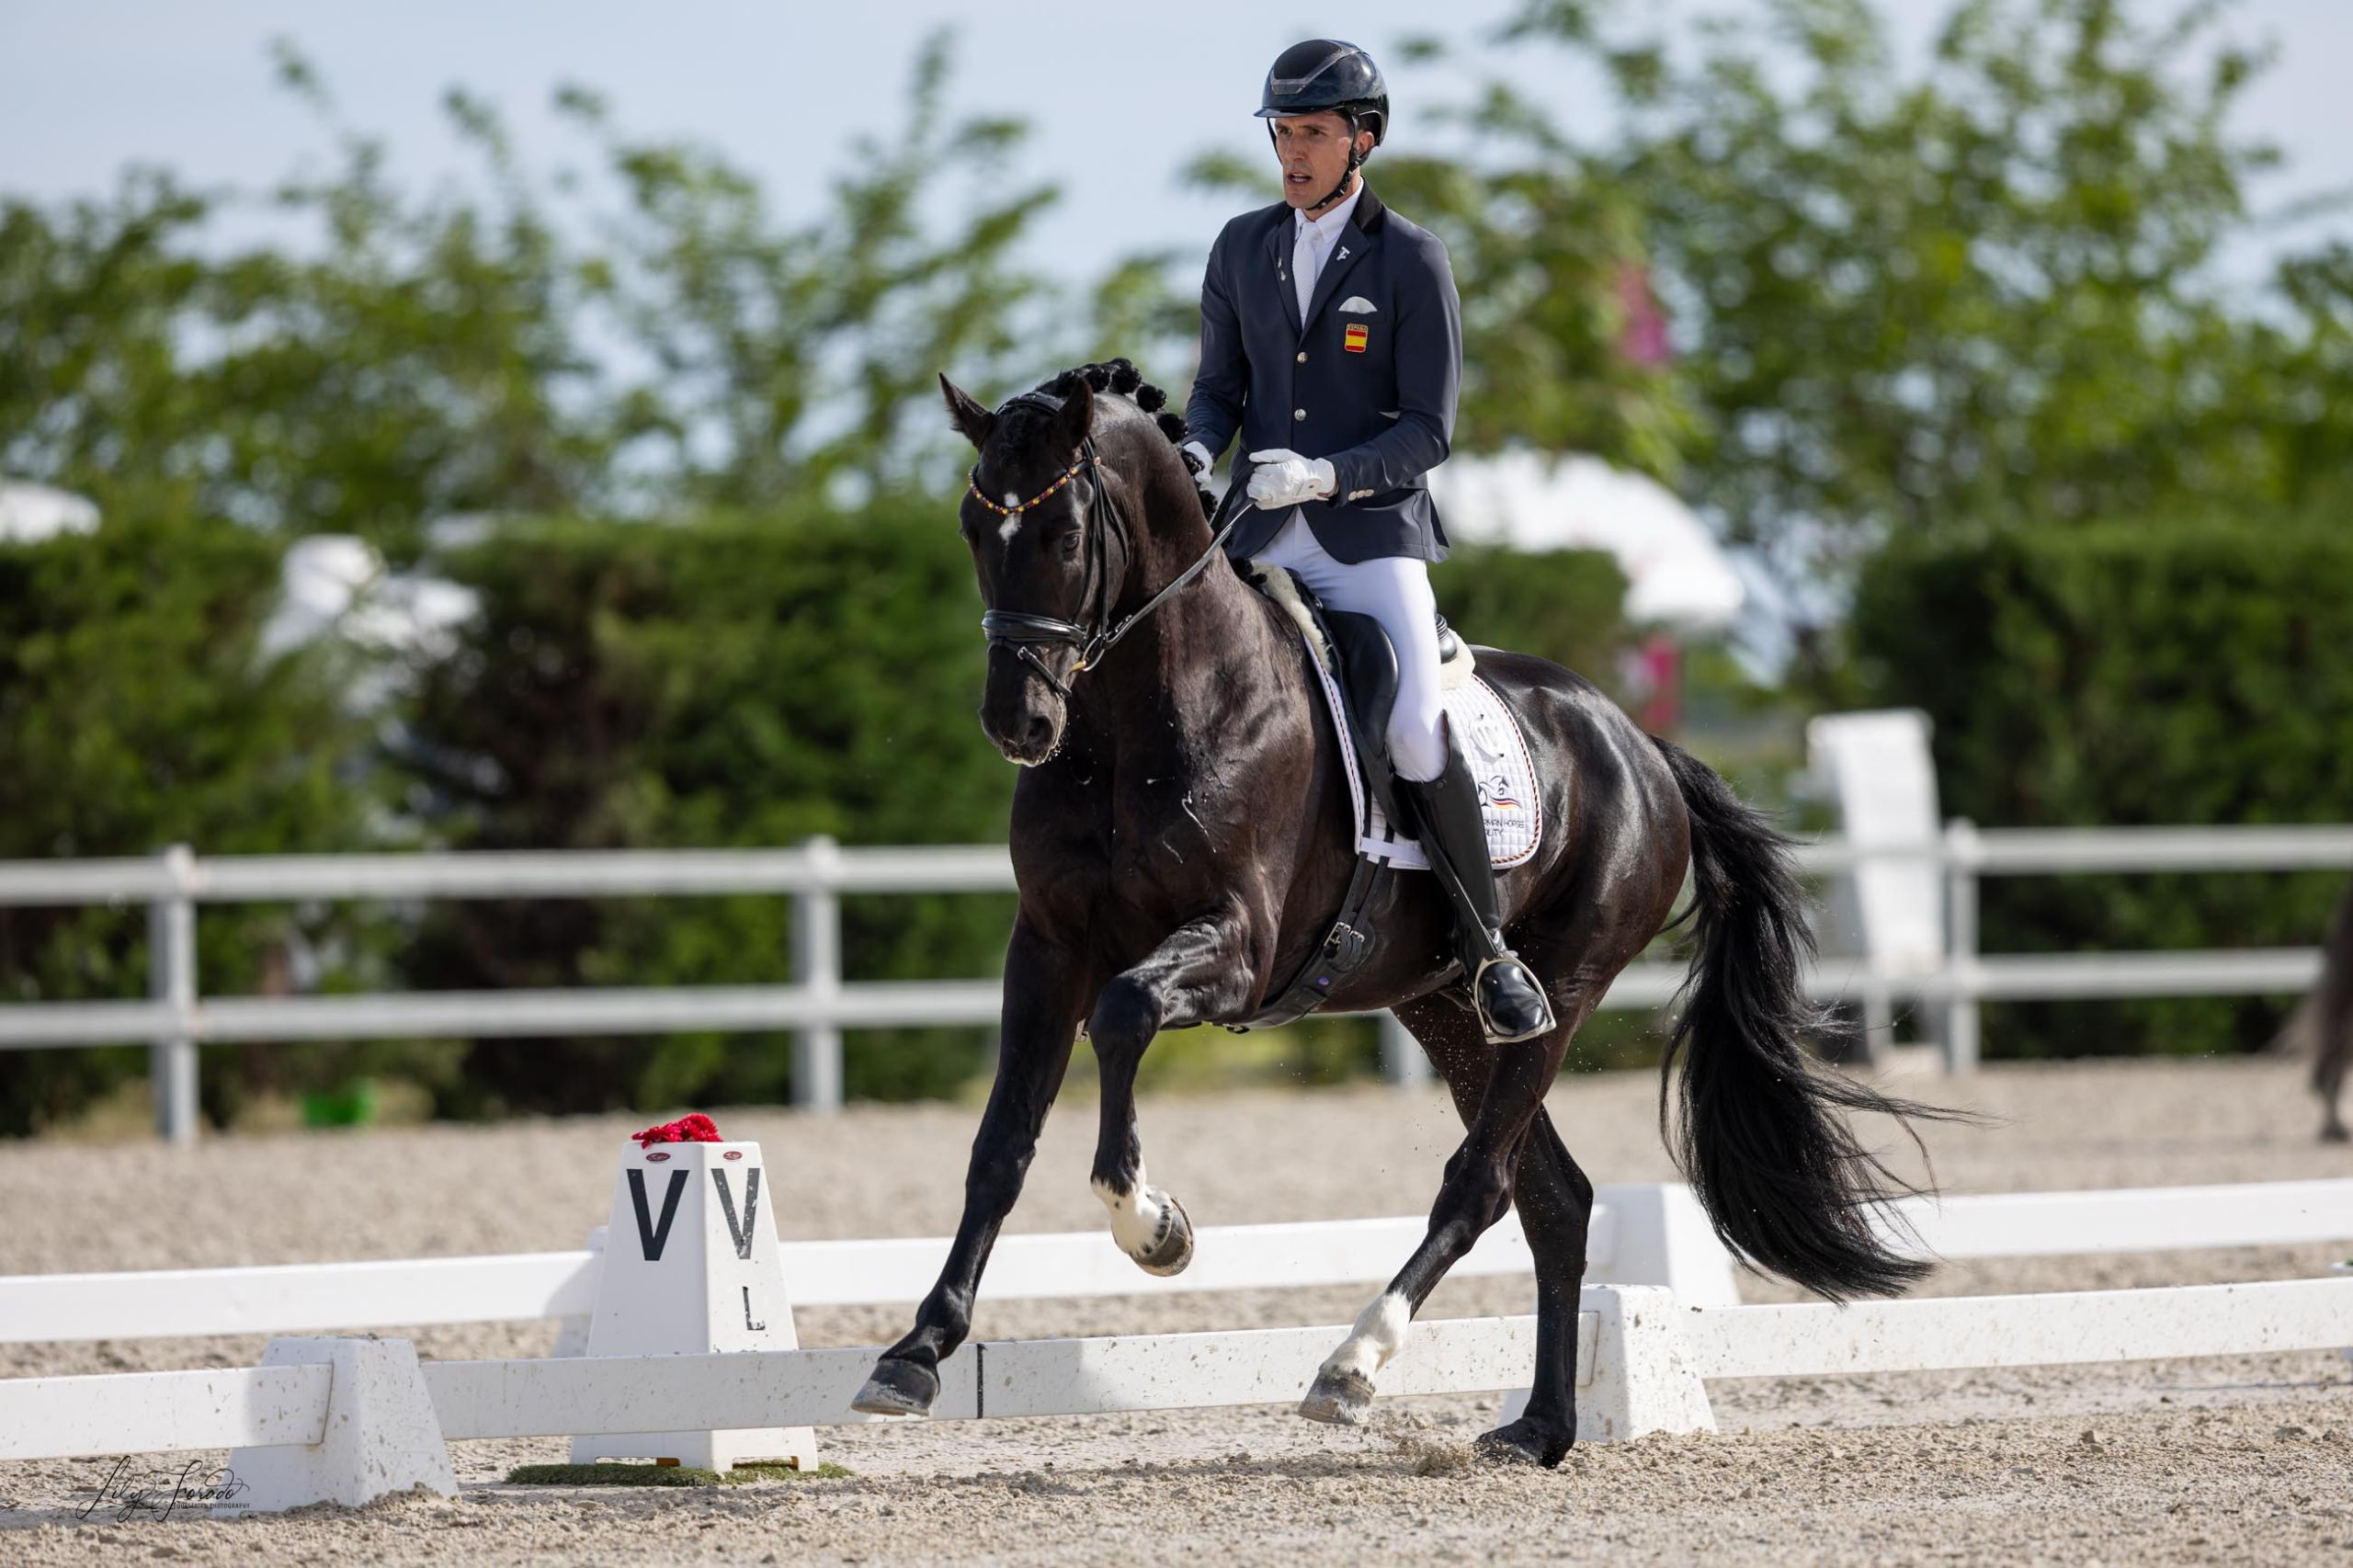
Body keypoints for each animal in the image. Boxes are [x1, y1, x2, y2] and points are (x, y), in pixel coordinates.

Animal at [856, 359, 1938, 1460]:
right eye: (971, 527)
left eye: (1067, 536)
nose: (1018, 723)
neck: (1134, 721)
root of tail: (1641, 744)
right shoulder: (1047, 947)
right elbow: (1001, 1143)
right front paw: (915, 1352)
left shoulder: (1236, 948)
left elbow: (1123, 1014)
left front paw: (1154, 1227)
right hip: (1442, 1006)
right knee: (1555, 1197)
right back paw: (1538, 1428)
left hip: (1562, 987)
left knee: (1483, 1180)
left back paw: (1353, 1363)